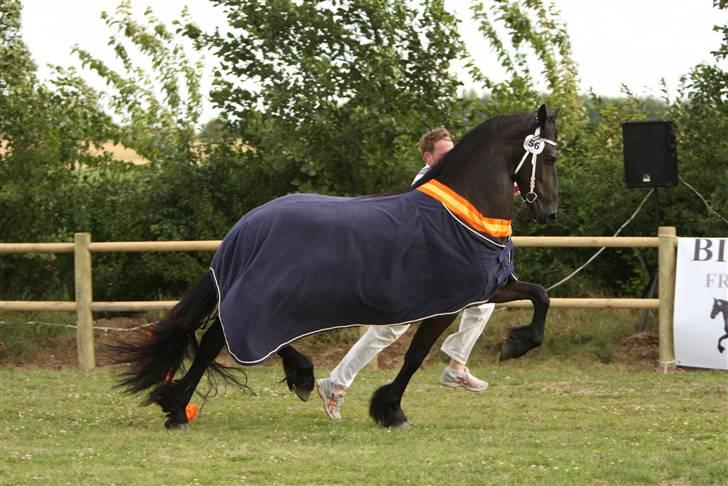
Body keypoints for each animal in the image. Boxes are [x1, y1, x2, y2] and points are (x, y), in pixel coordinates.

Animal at [111, 105, 560, 430]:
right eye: (551, 156)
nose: (550, 211)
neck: (460, 217)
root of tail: (245, 227)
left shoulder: (487, 289)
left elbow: (540, 295)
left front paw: (517, 343)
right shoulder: (447, 303)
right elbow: (415, 356)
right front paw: (390, 410)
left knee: (219, 339)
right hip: (267, 297)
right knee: (229, 339)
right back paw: (187, 407)